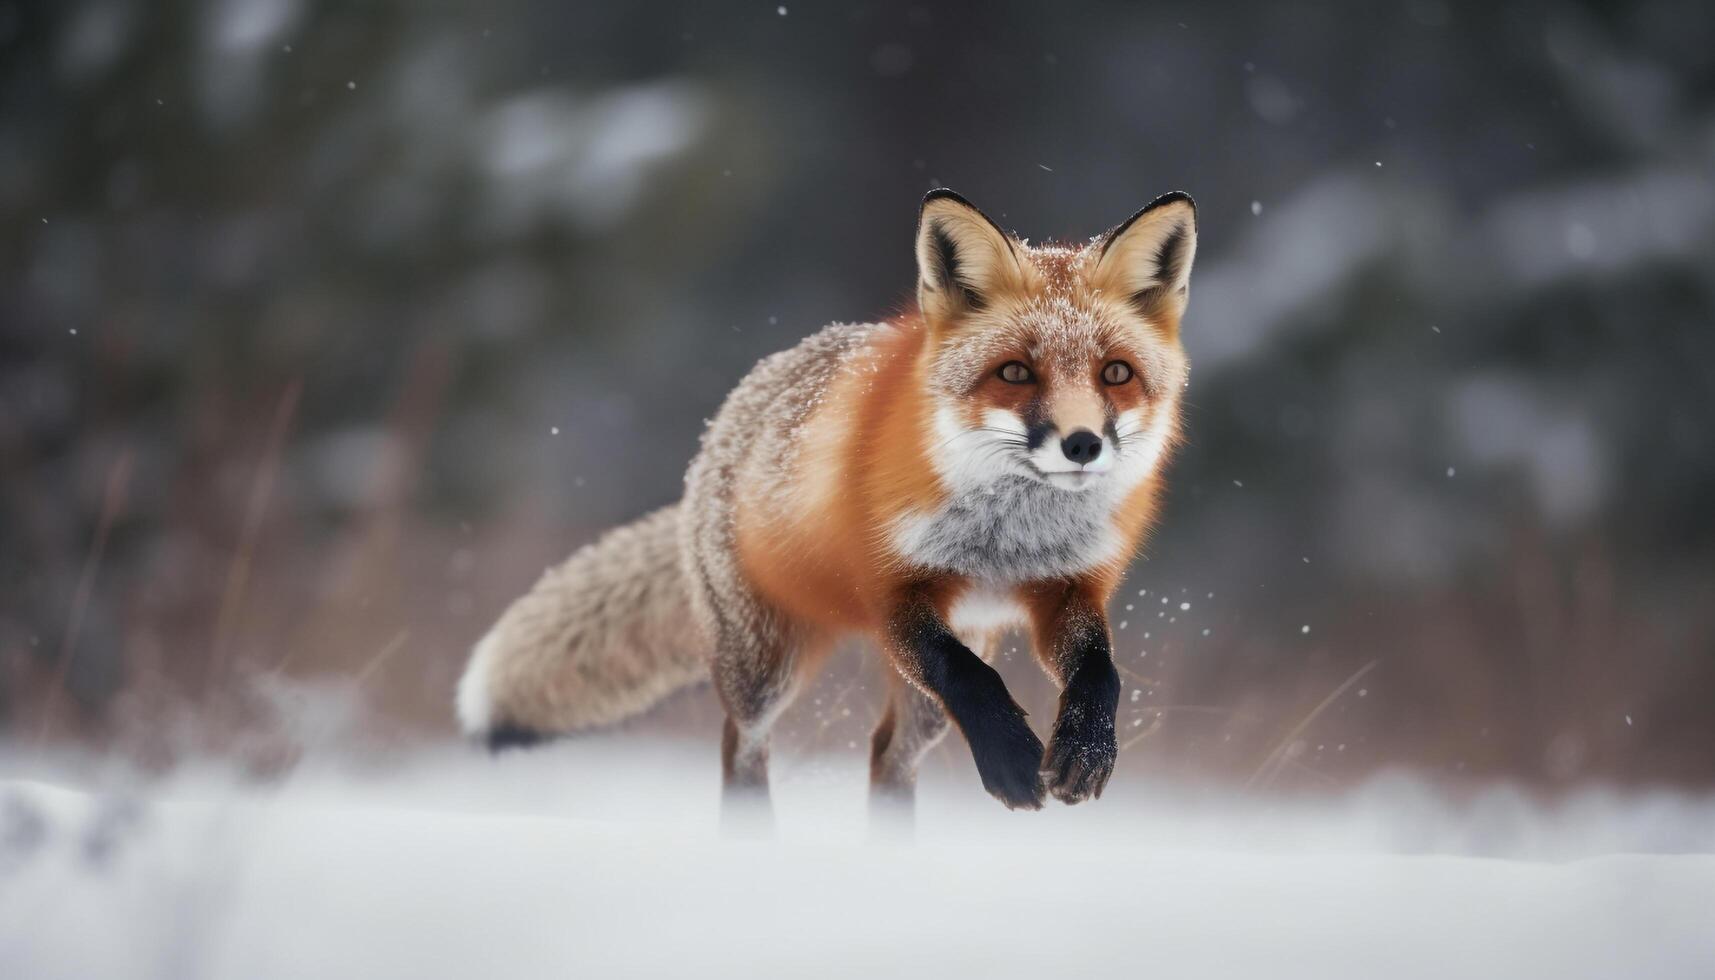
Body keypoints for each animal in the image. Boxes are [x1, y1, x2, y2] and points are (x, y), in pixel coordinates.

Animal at [463, 189, 1200, 820]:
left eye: (1116, 374)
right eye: (1015, 372)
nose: (1082, 444)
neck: (1008, 542)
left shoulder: (1066, 591)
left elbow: (1099, 673)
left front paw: (1085, 750)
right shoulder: (890, 595)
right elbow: (972, 681)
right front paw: (1013, 762)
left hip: (937, 674)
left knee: (888, 757)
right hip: (765, 664)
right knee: (742, 749)